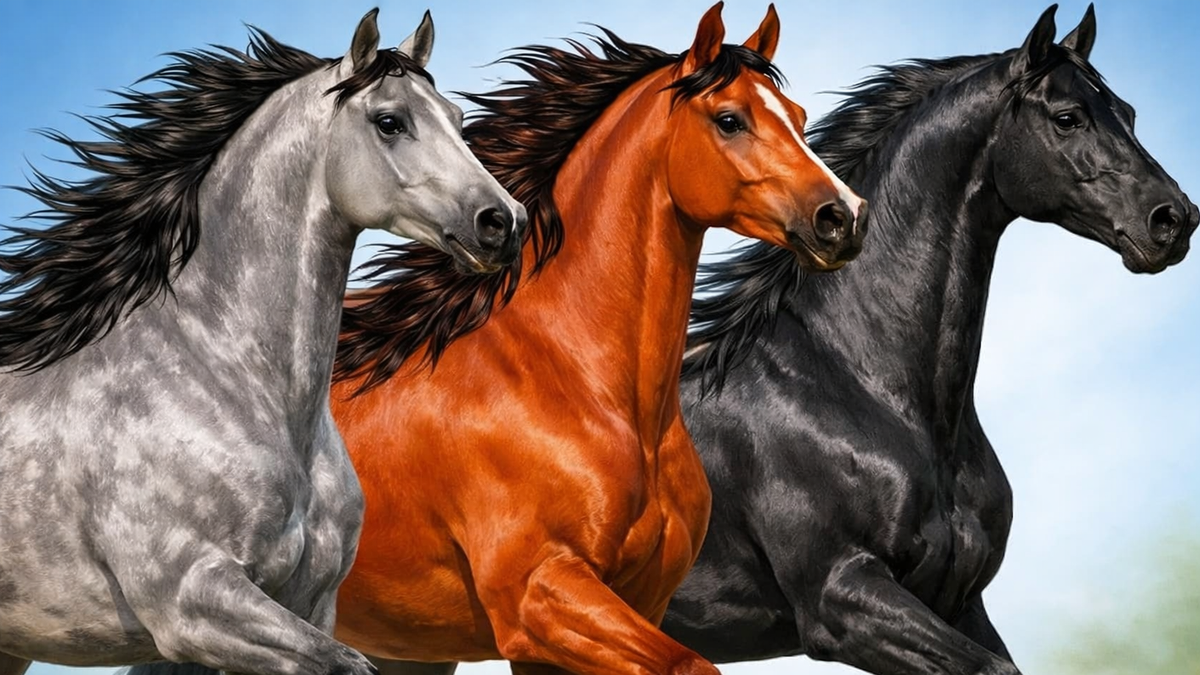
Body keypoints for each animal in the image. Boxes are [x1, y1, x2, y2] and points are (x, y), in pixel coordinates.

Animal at [0, 9, 524, 675]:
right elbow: (344, 663)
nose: (503, 222)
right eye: (390, 121)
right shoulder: (192, 603)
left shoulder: (309, 605)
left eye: (456, 118)